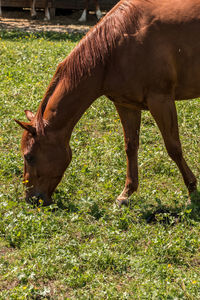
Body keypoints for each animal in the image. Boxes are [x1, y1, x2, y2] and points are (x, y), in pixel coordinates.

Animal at [16, 0, 200, 206]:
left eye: (29, 157)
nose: (31, 199)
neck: (114, 47)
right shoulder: (126, 105)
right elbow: (131, 146)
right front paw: (126, 193)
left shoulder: (161, 100)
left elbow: (173, 147)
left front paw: (192, 189)